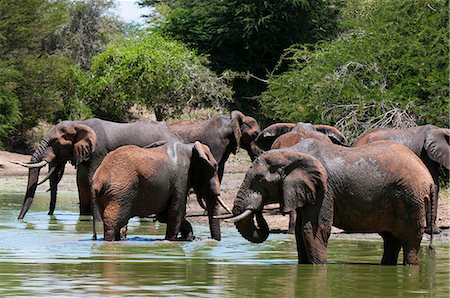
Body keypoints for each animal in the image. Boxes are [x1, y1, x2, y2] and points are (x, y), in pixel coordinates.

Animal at [13, 118, 179, 219]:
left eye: (54, 142)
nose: (19, 219)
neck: (79, 124)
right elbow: (82, 183)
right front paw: (84, 218)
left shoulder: (99, 150)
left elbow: (91, 179)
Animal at [92, 141, 222, 241]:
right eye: (215, 167)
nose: (211, 240)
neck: (190, 147)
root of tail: (99, 179)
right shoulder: (181, 176)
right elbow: (176, 211)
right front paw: (171, 241)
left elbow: (164, 215)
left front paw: (187, 238)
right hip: (121, 193)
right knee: (114, 223)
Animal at [230, 140, 434, 266]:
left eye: (260, 180)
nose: (257, 210)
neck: (290, 153)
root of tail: (429, 177)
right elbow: (300, 233)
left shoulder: (323, 190)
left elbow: (313, 230)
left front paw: (318, 268)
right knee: (391, 239)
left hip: (410, 199)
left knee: (410, 240)